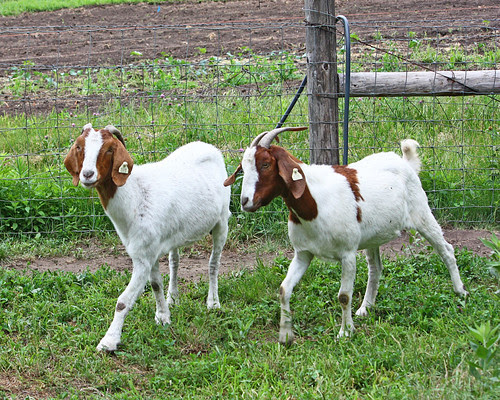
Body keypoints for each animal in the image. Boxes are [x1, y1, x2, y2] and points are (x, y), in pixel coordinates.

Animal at [65, 123, 231, 351]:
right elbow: (155, 284)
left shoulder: (142, 258)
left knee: (214, 263)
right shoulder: (149, 250)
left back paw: (213, 303)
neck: (135, 196)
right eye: (79, 146)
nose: (87, 174)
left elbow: (123, 301)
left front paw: (109, 341)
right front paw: (163, 316)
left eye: (109, 149)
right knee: (175, 261)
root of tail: (209, 147)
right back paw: (173, 298)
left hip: (222, 220)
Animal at [224, 127, 468, 344]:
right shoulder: (303, 253)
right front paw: (285, 336)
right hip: (372, 236)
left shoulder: (348, 254)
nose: (245, 201)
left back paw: (460, 291)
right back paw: (365, 308)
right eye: (243, 168)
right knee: (375, 268)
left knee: (446, 250)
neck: (314, 205)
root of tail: (405, 162)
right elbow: (284, 289)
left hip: (422, 213)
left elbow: (343, 295)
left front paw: (345, 332)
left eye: (265, 164)